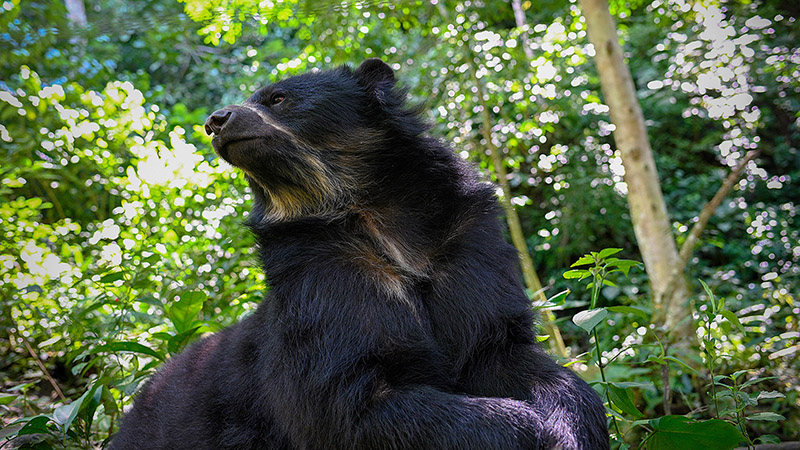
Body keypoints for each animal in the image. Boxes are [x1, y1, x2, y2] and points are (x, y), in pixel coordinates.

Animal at [111, 58, 608, 448]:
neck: (376, 218)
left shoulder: (466, 247)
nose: (216, 120)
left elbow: (501, 348)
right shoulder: (325, 272)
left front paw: (570, 428)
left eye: (278, 99)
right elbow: (345, 404)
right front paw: (531, 430)